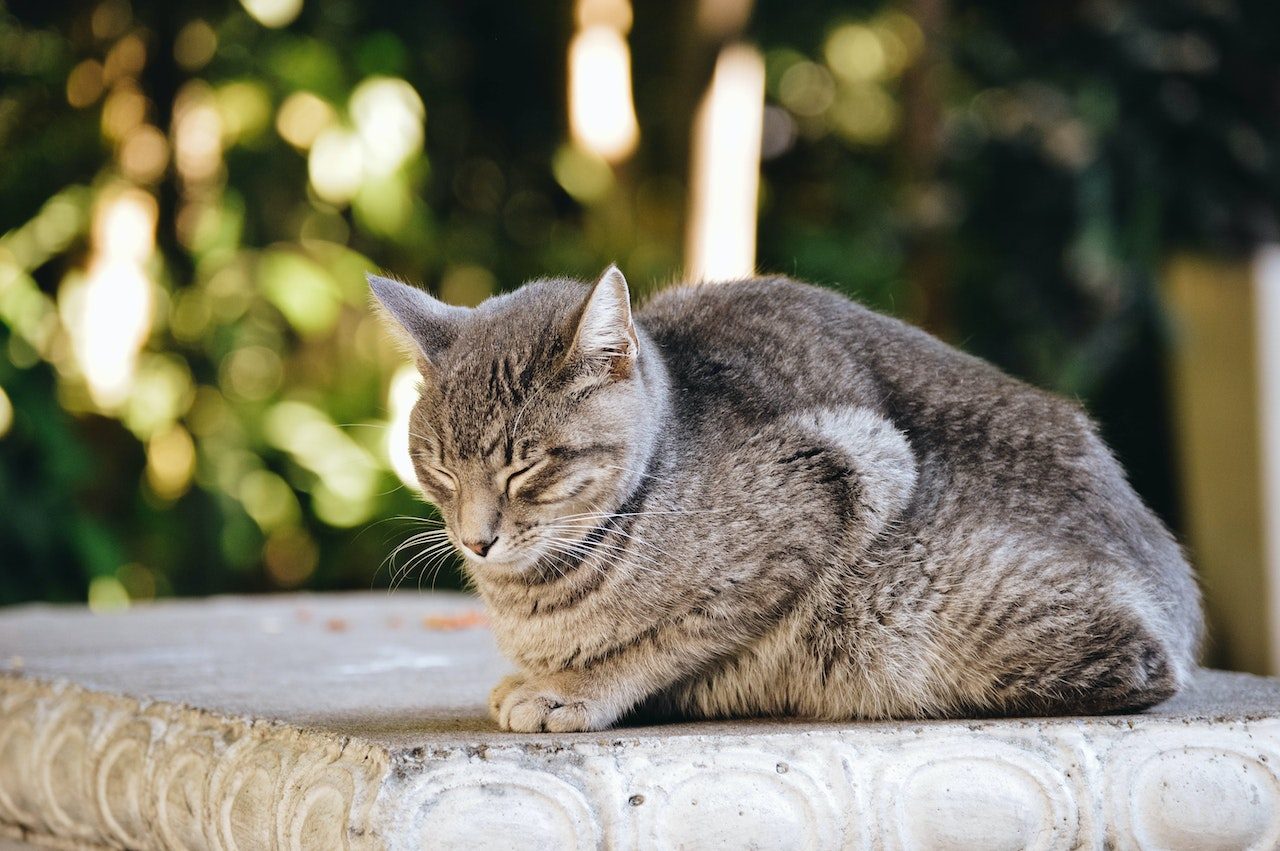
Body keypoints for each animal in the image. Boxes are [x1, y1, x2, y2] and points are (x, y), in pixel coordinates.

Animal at [368, 263, 1198, 731]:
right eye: (438, 467)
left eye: (526, 467)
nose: (475, 538)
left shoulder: (840, 479)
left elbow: (672, 637)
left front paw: (579, 689)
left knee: (1141, 669)